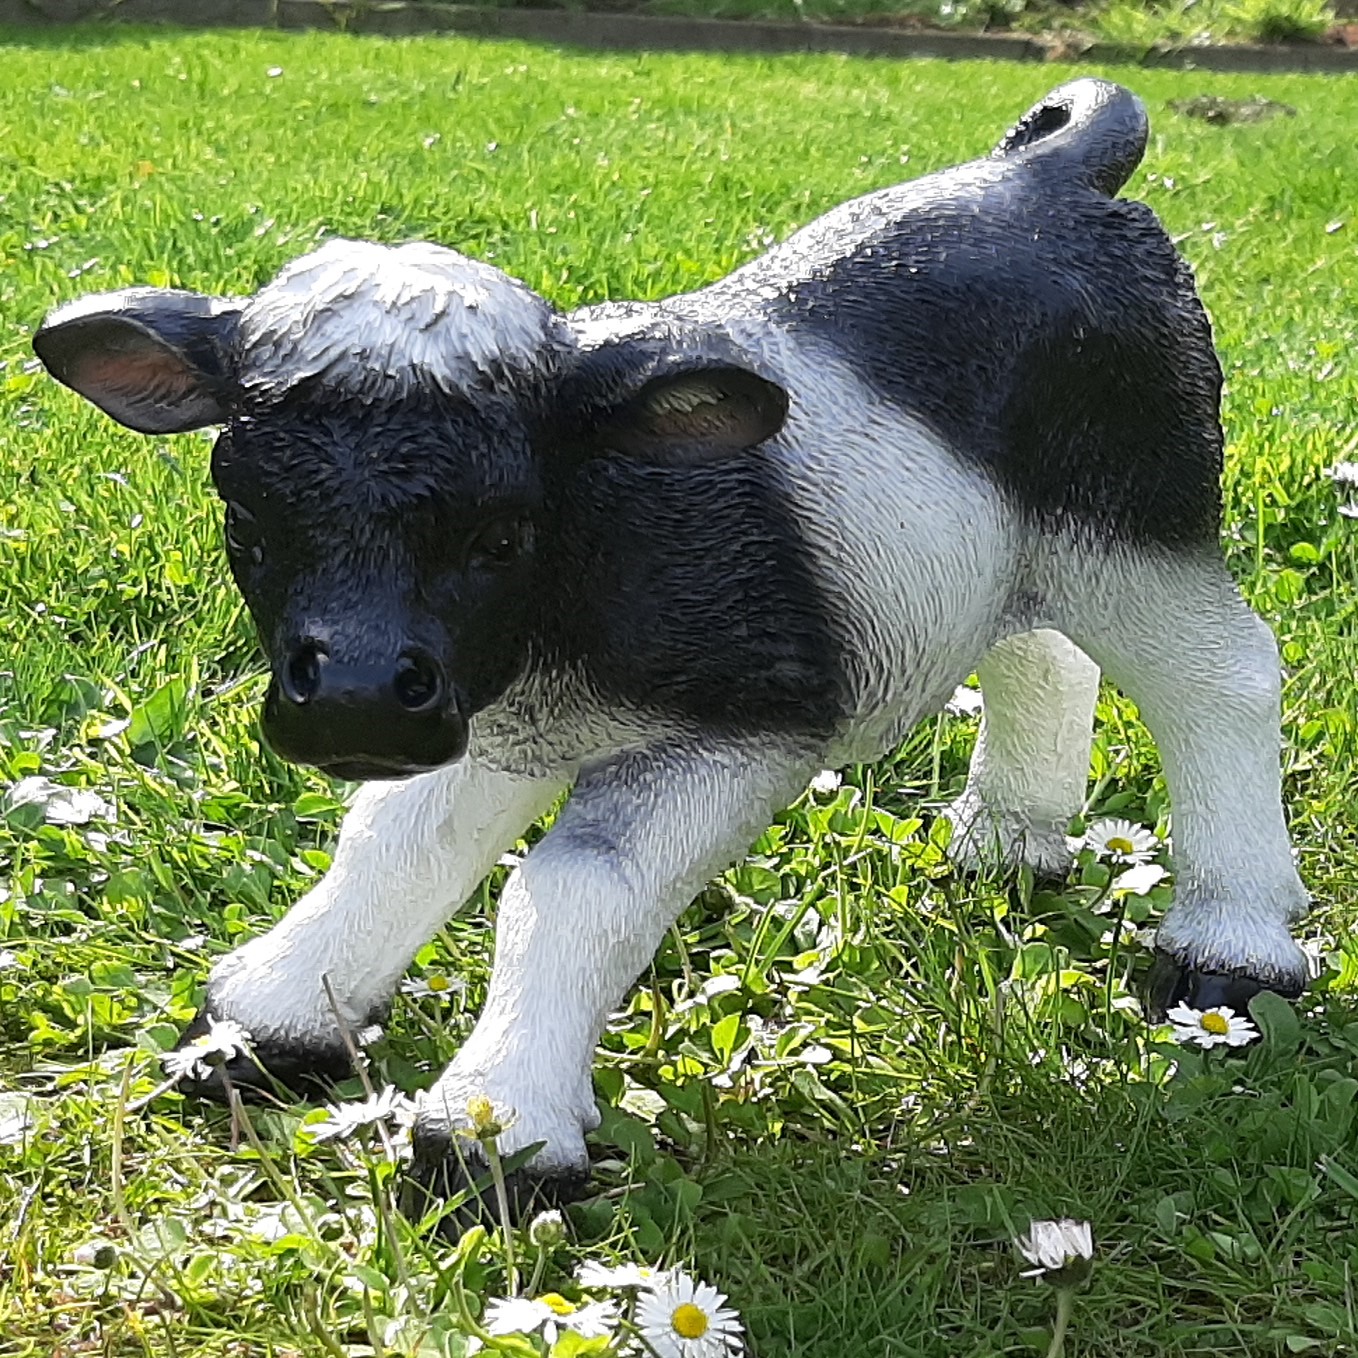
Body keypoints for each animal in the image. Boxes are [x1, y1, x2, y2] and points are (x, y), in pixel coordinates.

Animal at [33, 78, 1310, 1212]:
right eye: (246, 520)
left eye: (501, 531)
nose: (349, 697)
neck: (594, 533)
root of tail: (1048, 170)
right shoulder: (491, 718)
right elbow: (393, 845)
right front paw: (271, 1018)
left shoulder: (741, 726)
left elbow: (567, 885)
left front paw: (493, 1132)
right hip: (1012, 541)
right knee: (1040, 653)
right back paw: (1005, 842)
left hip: (1135, 514)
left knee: (1220, 678)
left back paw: (1231, 946)